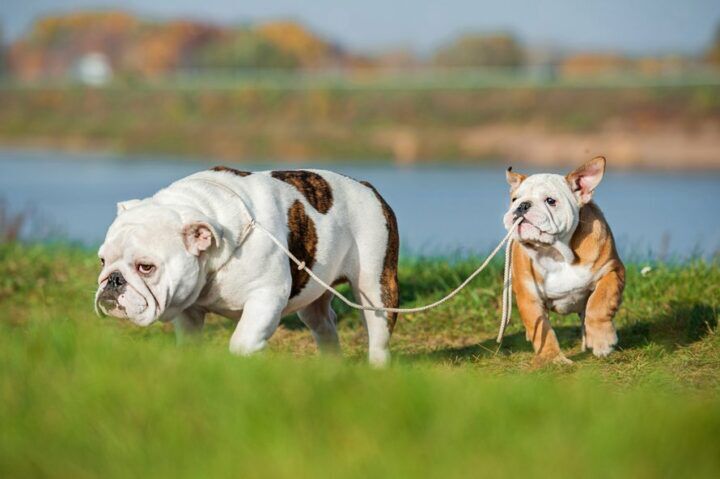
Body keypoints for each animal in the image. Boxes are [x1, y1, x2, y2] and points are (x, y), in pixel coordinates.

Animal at [94, 167, 400, 366]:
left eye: (146, 267)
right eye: (103, 260)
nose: (113, 280)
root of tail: (368, 187)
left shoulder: (267, 296)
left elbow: (242, 339)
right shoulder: (188, 306)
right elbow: (190, 340)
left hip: (376, 288)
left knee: (378, 335)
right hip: (313, 296)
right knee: (324, 325)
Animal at [506, 156, 624, 366]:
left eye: (550, 201)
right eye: (514, 199)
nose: (523, 205)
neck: (556, 253)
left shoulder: (612, 270)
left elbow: (600, 303)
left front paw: (602, 341)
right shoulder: (529, 295)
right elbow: (541, 329)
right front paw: (552, 359)